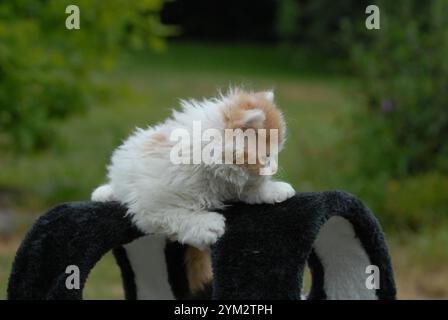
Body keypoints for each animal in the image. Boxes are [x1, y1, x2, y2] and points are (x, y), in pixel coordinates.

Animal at [91, 87, 296, 248]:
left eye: (276, 154)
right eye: (267, 157)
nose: (274, 168)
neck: (212, 169)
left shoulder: (236, 184)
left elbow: (253, 188)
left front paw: (276, 189)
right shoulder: (151, 207)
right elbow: (179, 215)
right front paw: (208, 225)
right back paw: (104, 194)